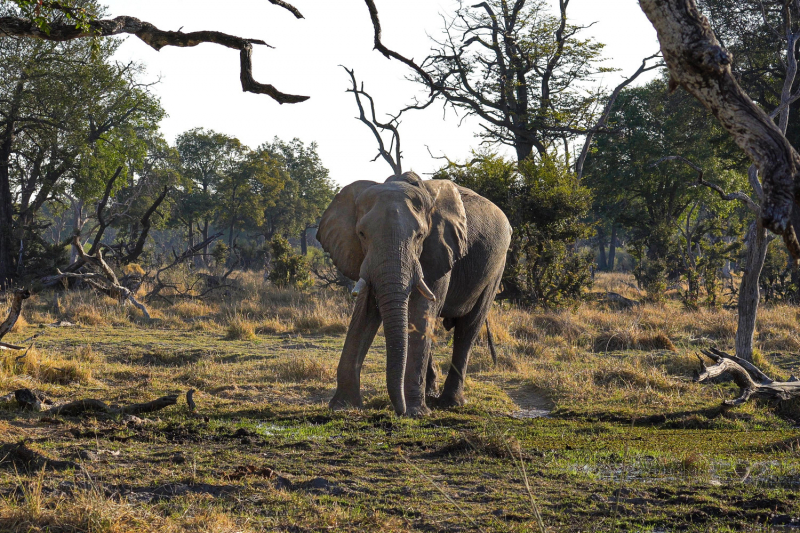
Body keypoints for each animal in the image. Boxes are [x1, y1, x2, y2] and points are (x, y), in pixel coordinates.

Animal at [316, 170, 510, 416]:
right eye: (361, 234)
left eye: (419, 236)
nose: (397, 411)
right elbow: (364, 313)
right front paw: (342, 407)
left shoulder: (439, 248)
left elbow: (421, 310)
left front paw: (416, 413)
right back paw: (432, 395)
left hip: (496, 266)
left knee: (469, 327)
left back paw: (450, 403)